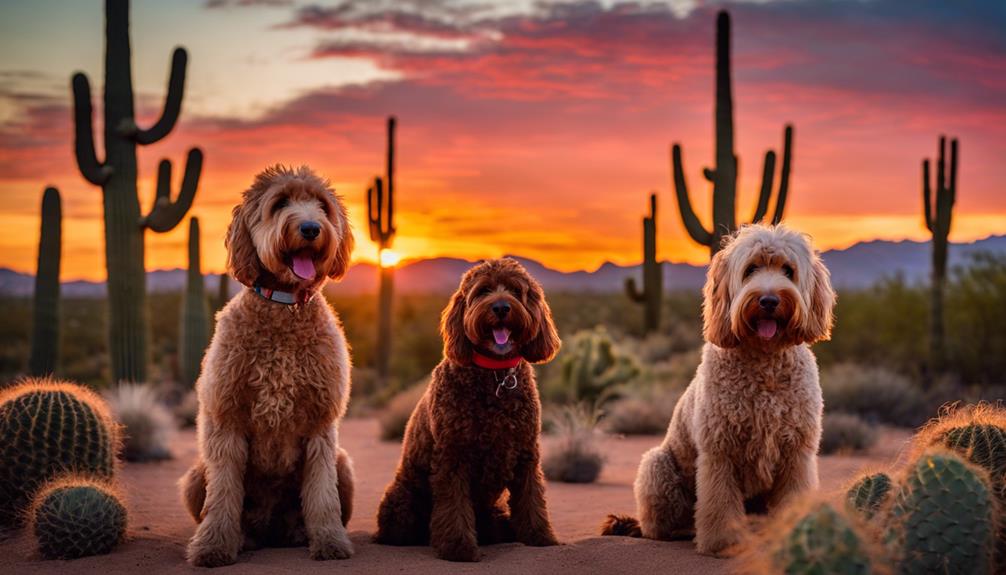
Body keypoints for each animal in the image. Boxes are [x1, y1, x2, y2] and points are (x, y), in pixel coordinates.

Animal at [179, 164, 356, 566]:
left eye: (322, 205)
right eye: (280, 203)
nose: (311, 228)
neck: (284, 306)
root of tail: (271, 527)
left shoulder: (320, 427)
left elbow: (322, 496)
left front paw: (330, 543)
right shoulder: (226, 421)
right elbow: (223, 496)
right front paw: (213, 547)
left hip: (343, 465)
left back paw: (298, 533)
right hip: (196, 473)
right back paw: (244, 538)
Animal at [378, 257, 563, 562]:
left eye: (515, 290)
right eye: (483, 291)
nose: (501, 307)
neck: (495, 375)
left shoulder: (526, 453)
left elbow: (532, 499)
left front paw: (541, 538)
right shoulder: (453, 456)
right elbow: (454, 506)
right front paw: (459, 548)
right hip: (404, 503)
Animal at [599, 224, 836, 558]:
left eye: (788, 271)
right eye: (750, 269)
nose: (768, 300)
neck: (764, 359)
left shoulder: (796, 453)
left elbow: (792, 496)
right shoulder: (719, 451)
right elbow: (719, 503)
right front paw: (723, 543)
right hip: (656, 467)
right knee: (659, 527)